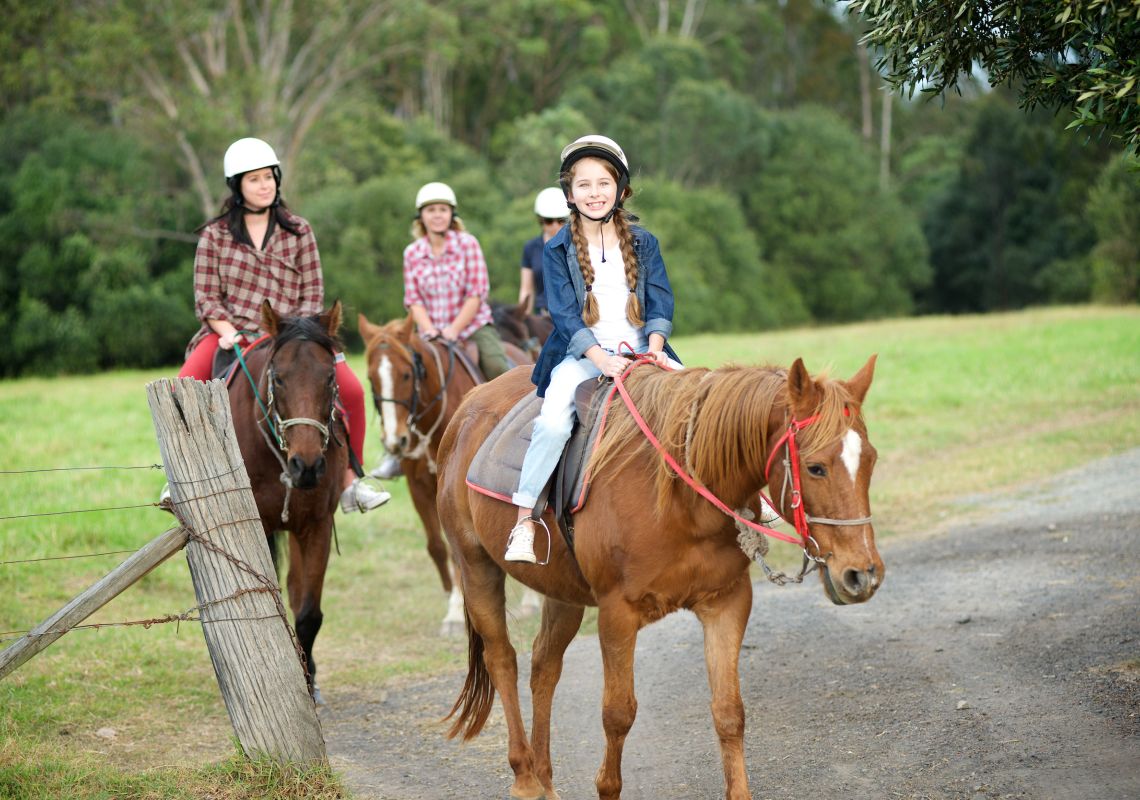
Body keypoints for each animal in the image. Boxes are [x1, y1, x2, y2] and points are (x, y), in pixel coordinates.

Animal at [225, 298, 342, 701]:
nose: (306, 466)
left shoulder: (317, 524)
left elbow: (308, 614)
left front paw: (307, 683)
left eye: (330, 378)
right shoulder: (256, 526)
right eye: (278, 379)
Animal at [355, 316, 538, 638]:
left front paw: (454, 614)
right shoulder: (418, 487)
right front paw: (451, 601)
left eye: (406, 375)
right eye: (371, 378)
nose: (395, 441)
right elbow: (437, 547)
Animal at [435, 357, 880, 800]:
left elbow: (729, 711)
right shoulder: (617, 614)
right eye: (815, 467)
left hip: (563, 592)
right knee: (502, 660)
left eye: (871, 460)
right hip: (476, 568)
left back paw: (544, 779)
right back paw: (526, 778)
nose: (862, 573)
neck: (683, 496)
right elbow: (618, 714)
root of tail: (470, 404)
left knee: (544, 664)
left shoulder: (727, 603)